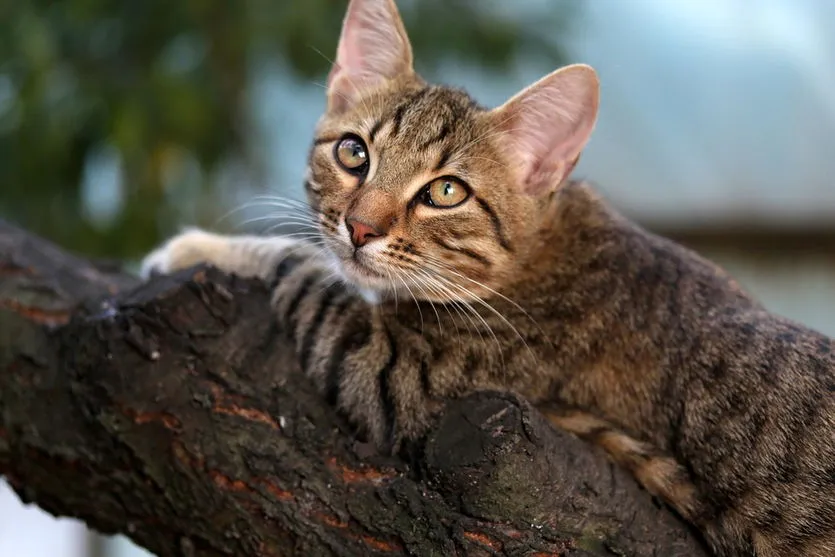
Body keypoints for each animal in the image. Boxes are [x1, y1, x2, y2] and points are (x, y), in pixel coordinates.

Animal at [140, 0, 835, 552]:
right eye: (353, 153)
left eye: (446, 192)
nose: (359, 228)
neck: (538, 255)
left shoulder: (398, 372)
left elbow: (302, 265)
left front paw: (200, 246)